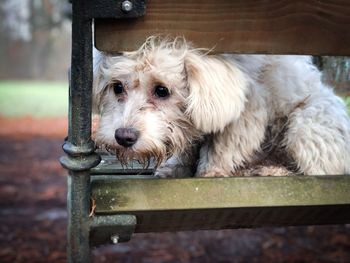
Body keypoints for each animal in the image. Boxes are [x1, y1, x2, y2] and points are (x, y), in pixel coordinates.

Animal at [93, 36, 350, 177]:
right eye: (117, 87)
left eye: (162, 90)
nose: (123, 137)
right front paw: (175, 167)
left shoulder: (246, 108)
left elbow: (223, 145)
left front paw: (210, 171)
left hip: (307, 124)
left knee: (316, 170)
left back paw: (272, 170)